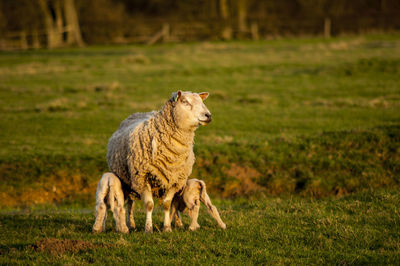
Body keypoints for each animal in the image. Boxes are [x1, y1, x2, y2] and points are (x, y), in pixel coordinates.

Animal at [106, 90, 212, 232]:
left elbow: (167, 204)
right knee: (130, 203)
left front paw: (167, 227)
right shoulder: (143, 177)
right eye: (185, 102)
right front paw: (148, 228)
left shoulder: (175, 181)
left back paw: (178, 223)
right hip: (128, 180)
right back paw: (131, 224)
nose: (208, 115)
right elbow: (149, 205)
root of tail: (139, 113)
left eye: (201, 101)